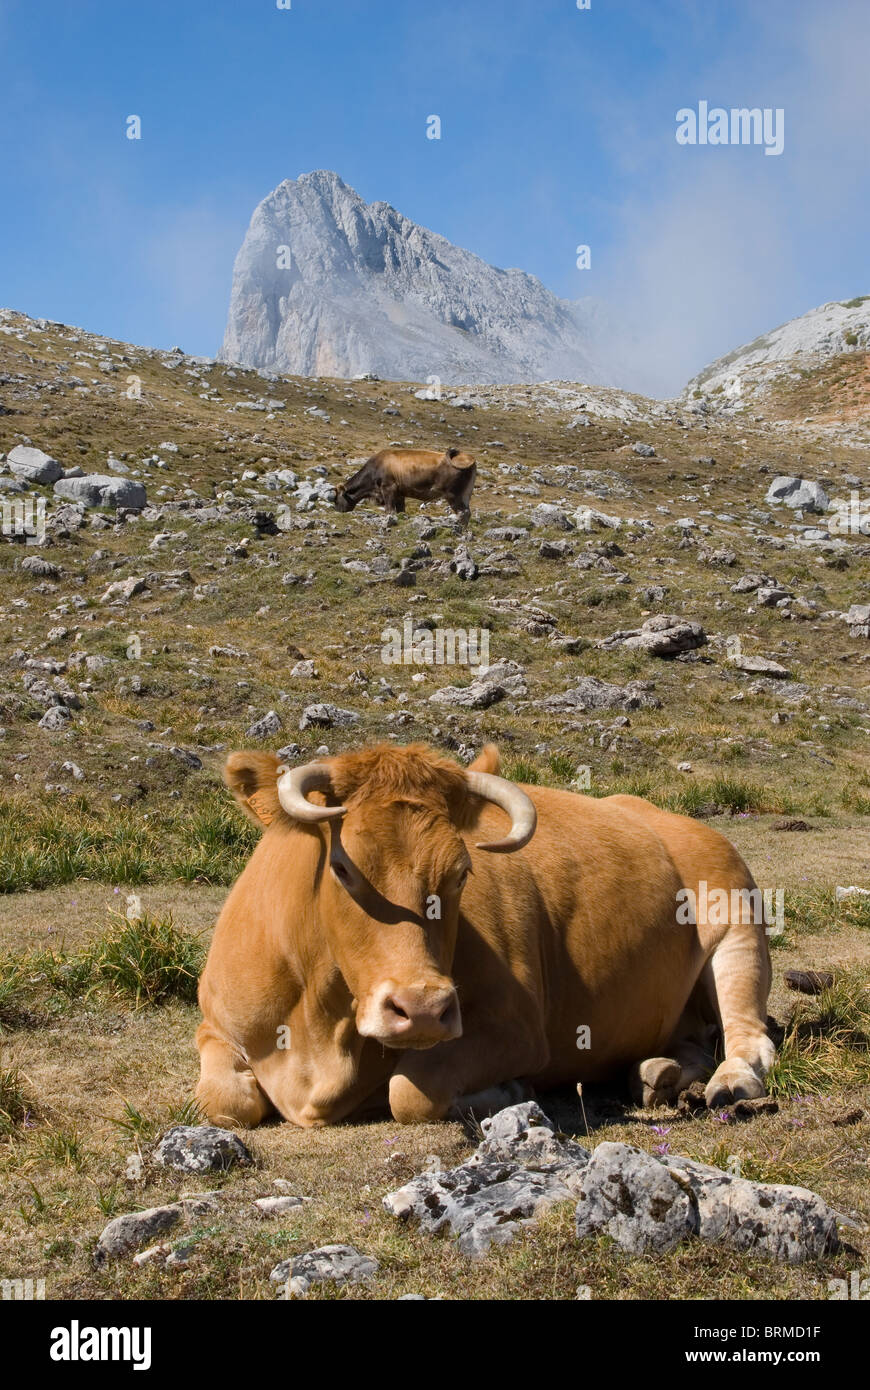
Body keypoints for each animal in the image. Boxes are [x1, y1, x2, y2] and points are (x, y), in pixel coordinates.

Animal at [195, 745, 772, 1123]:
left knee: (750, 1036)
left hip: (739, 926)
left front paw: (510, 1091)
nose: (422, 1009)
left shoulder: (518, 1029)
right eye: (340, 867)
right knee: (692, 1042)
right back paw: (657, 1073)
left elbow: (411, 1092)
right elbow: (226, 1103)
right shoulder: (214, 1024)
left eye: (462, 872)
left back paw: (729, 1082)